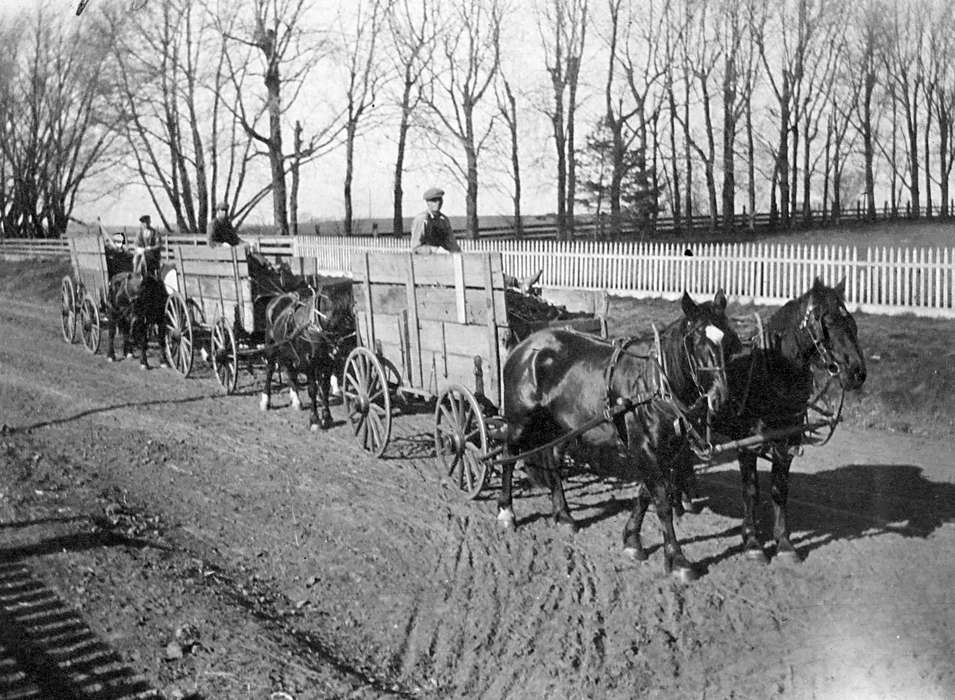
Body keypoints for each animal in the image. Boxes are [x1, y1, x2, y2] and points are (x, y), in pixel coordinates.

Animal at [258, 282, 354, 430]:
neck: (317, 324)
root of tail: (277, 298)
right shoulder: (309, 362)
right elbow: (312, 389)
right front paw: (314, 420)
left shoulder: (327, 362)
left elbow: (325, 388)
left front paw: (327, 417)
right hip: (271, 345)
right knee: (270, 369)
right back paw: (265, 400)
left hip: (287, 349)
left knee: (289, 370)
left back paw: (296, 400)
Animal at [496, 290, 744, 580]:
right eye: (695, 342)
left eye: (729, 341)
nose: (721, 399)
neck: (655, 384)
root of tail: (525, 345)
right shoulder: (644, 447)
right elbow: (661, 502)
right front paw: (677, 559)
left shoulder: (665, 449)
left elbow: (645, 494)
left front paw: (632, 539)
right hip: (519, 420)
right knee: (508, 456)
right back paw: (506, 511)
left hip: (560, 425)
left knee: (553, 461)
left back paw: (564, 515)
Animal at [716, 278, 868, 564]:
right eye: (827, 323)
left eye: (852, 323)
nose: (857, 372)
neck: (771, 370)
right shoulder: (746, 443)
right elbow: (751, 490)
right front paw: (752, 541)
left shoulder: (786, 440)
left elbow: (780, 489)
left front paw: (783, 542)